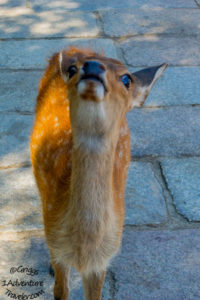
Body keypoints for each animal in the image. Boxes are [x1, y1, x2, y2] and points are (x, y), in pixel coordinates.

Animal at [30, 47, 167, 300]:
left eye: (127, 79)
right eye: (72, 70)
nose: (92, 66)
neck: (84, 249)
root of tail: (74, 49)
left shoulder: (102, 260)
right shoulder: (57, 243)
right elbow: (60, 291)